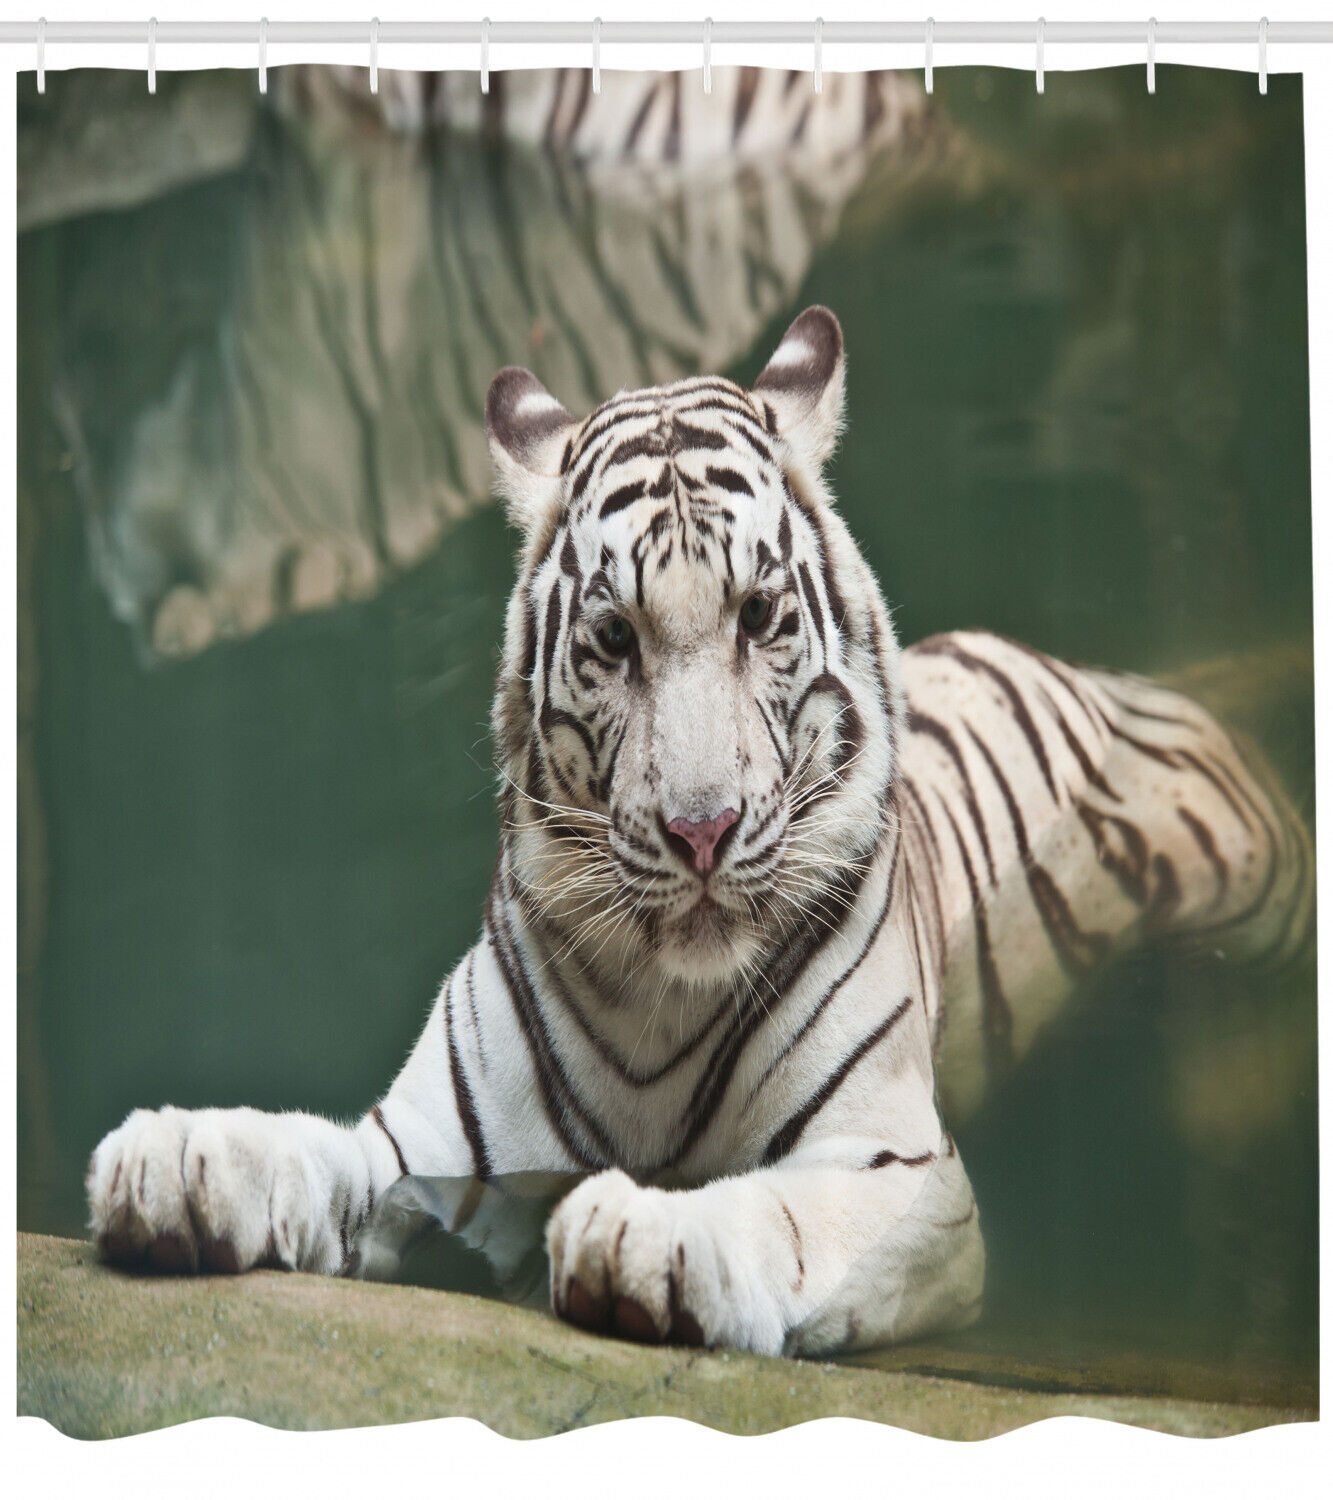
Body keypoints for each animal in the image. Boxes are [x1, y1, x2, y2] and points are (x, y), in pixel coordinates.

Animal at [85, 306, 1311, 1356]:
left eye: (758, 617)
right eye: (614, 640)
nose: (702, 830)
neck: (654, 999)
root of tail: (1119, 677)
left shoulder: (898, 1172)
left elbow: (780, 1214)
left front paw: (648, 1231)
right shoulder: (425, 1151)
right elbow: (307, 1151)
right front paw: (176, 1157)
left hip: (1256, 872)